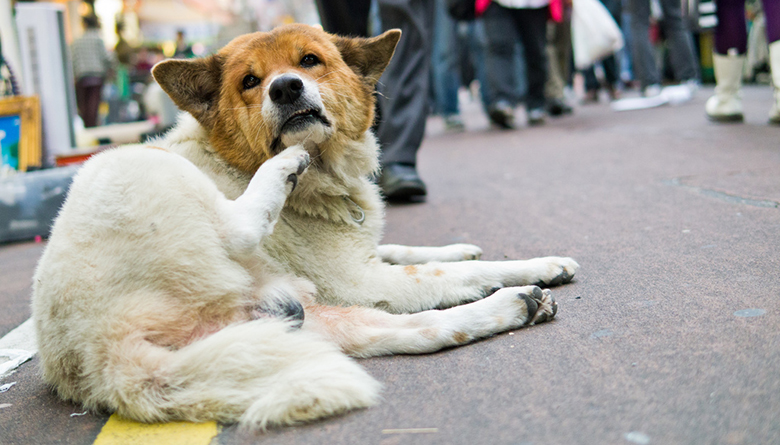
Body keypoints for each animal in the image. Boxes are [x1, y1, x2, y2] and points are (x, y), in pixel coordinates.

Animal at [32, 23, 580, 426]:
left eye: (309, 61)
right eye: (250, 82)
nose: (285, 87)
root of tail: (99, 358)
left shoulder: (360, 270)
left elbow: (405, 250)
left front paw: (483, 253)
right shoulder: (362, 279)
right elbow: (449, 274)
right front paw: (514, 263)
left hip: (301, 325)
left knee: (421, 332)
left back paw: (516, 306)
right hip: (125, 165)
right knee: (237, 228)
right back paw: (282, 168)